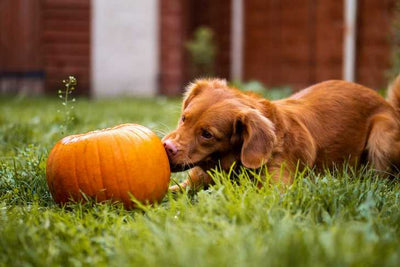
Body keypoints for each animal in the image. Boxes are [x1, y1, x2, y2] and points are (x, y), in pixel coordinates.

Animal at [161, 76, 400, 192]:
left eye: (207, 134)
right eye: (184, 118)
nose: (167, 147)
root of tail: (388, 105)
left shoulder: (275, 190)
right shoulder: (189, 184)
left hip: (381, 135)